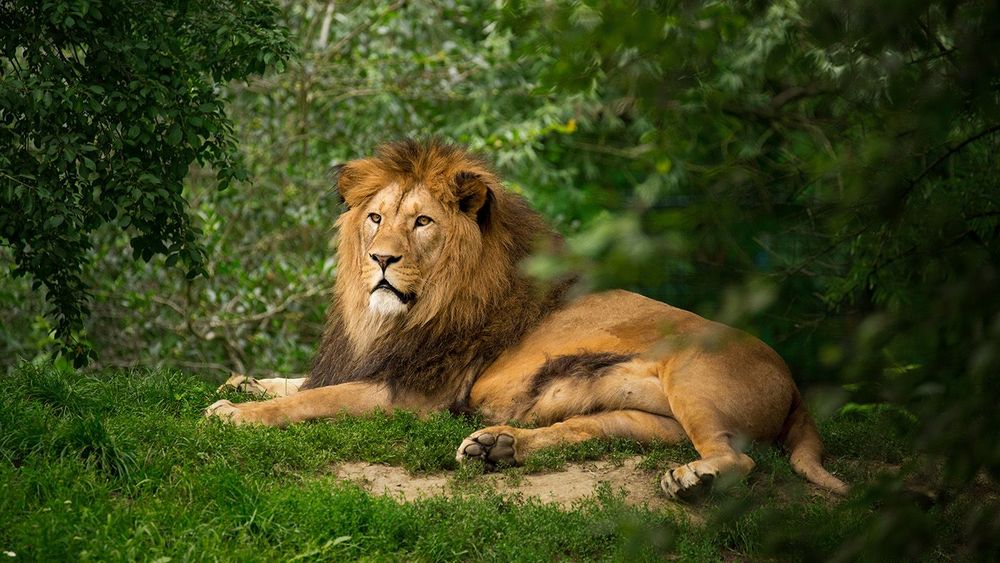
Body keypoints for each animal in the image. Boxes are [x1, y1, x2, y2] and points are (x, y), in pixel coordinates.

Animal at [206, 139, 848, 500]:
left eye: (422, 223)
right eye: (376, 218)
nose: (381, 260)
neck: (396, 318)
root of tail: (795, 387)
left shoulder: (413, 395)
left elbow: (313, 401)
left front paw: (235, 413)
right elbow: (299, 382)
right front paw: (240, 382)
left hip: (694, 374)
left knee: (742, 459)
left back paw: (692, 482)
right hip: (643, 420)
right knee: (583, 433)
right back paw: (499, 447)